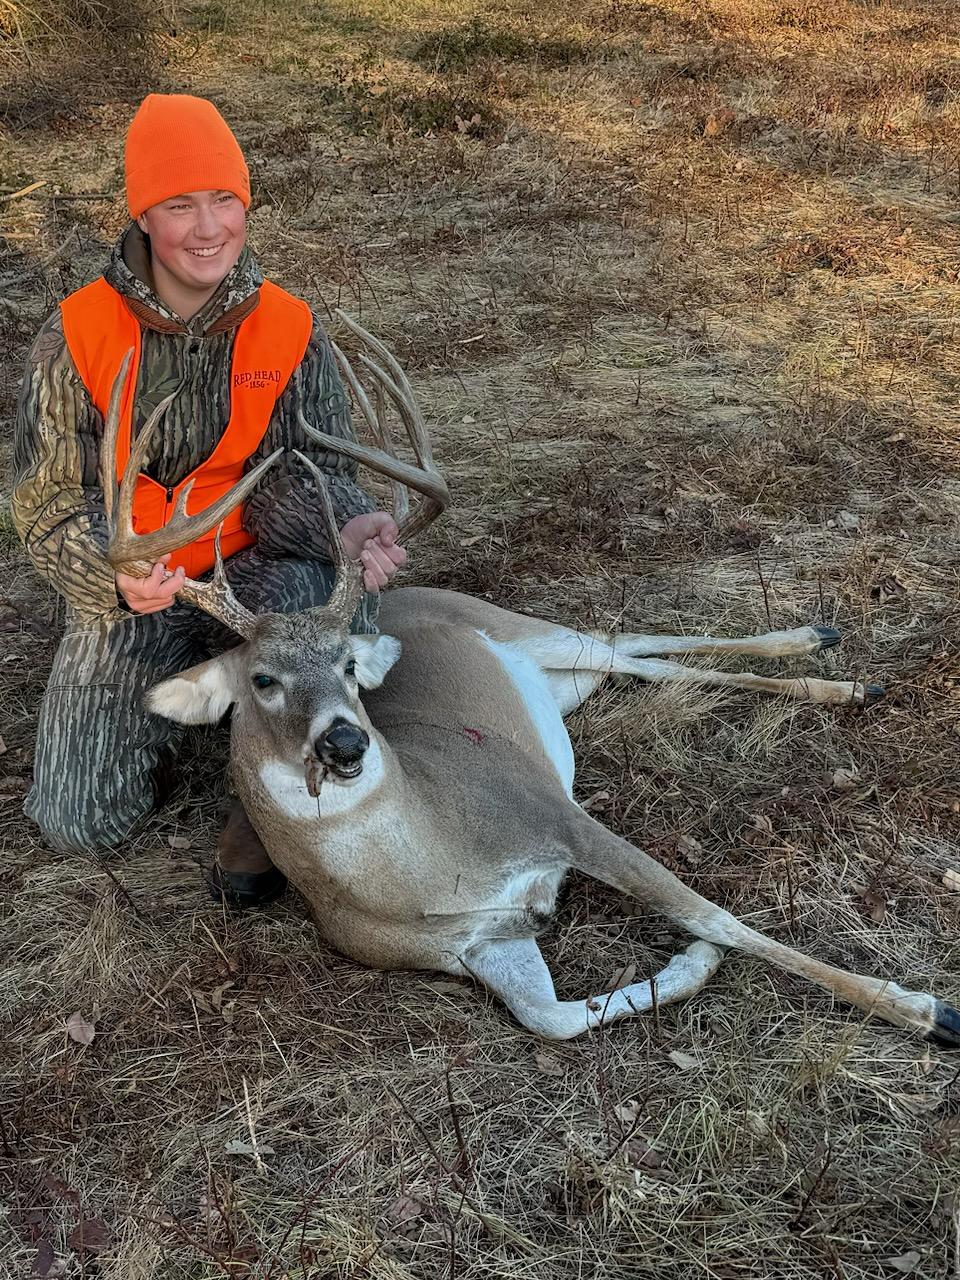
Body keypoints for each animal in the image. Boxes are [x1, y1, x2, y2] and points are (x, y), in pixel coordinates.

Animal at [100, 314, 960, 1047]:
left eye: (347, 665)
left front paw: (925, 1009)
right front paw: (689, 967)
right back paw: (833, 673)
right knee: (637, 660)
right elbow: (551, 1018)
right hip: (559, 685)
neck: (433, 871)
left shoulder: (553, 812)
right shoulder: (482, 942)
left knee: (625, 640)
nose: (345, 743)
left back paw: (827, 652)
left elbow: (715, 914)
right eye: (264, 680)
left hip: (524, 631)